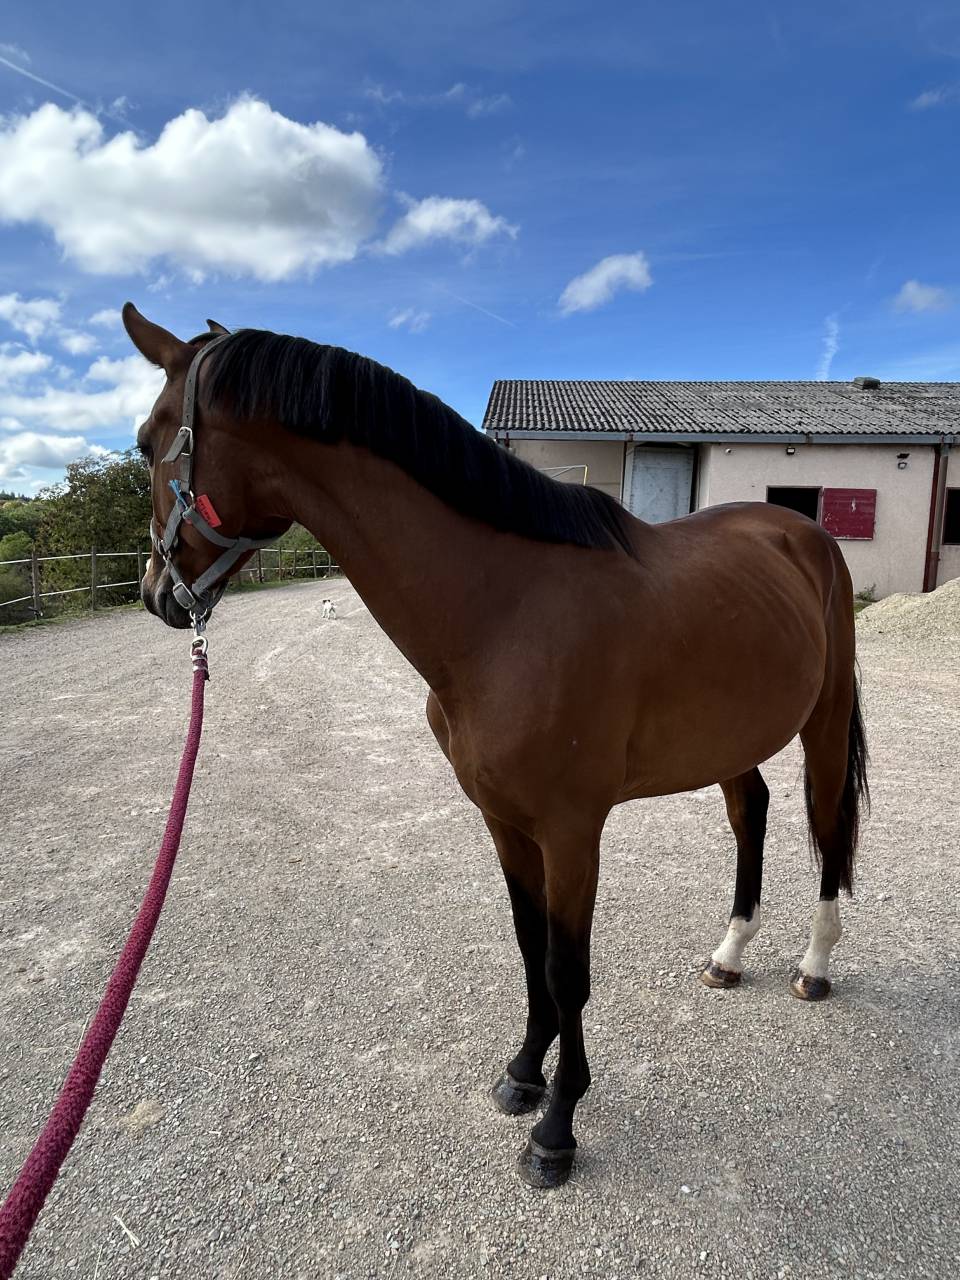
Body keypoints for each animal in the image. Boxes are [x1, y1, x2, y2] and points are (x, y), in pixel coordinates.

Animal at [122, 303, 869, 1190]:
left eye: (147, 440)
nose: (156, 595)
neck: (506, 612)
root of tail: (798, 529)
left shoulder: (573, 831)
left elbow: (567, 969)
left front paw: (557, 1128)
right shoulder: (503, 819)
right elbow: (527, 945)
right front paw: (522, 1074)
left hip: (825, 719)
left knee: (827, 822)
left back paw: (814, 965)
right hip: (731, 736)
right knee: (750, 811)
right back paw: (729, 953)